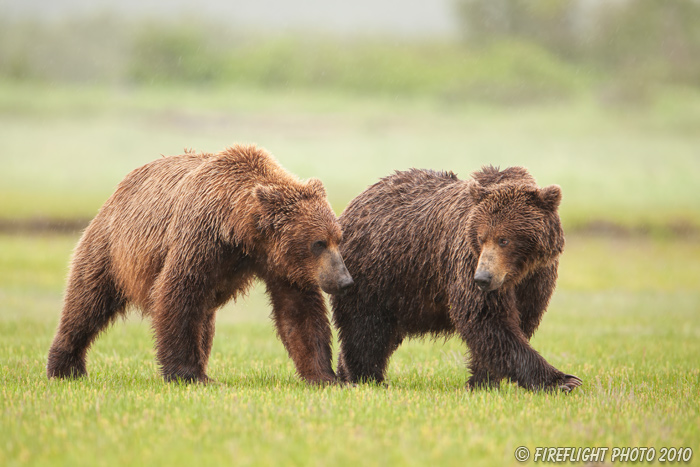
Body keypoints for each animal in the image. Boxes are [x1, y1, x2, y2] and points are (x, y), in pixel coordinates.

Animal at [46, 144, 352, 384]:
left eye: (338, 238)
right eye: (318, 243)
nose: (344, 280)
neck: (240, 230)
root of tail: (118, 189)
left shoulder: (278, 261)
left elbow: (298, 311)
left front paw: (324, 375)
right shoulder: (200, 239)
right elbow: (178, 293)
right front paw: (189, 374)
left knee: (203, 320)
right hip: (110, 246)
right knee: (87, 300)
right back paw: (65, 367)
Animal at [330, 166, 584, 394]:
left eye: (504, 240)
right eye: (481, 238)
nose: (483, 278)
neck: (516, 272)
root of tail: (353, 204)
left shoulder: (536, 278)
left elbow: (519, 320)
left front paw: (482, 381)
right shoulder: (467, 259)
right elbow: (487, 319)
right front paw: (563, 381)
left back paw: (347, 373)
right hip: (376, 272)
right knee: (366, 328)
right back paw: (367, 378)